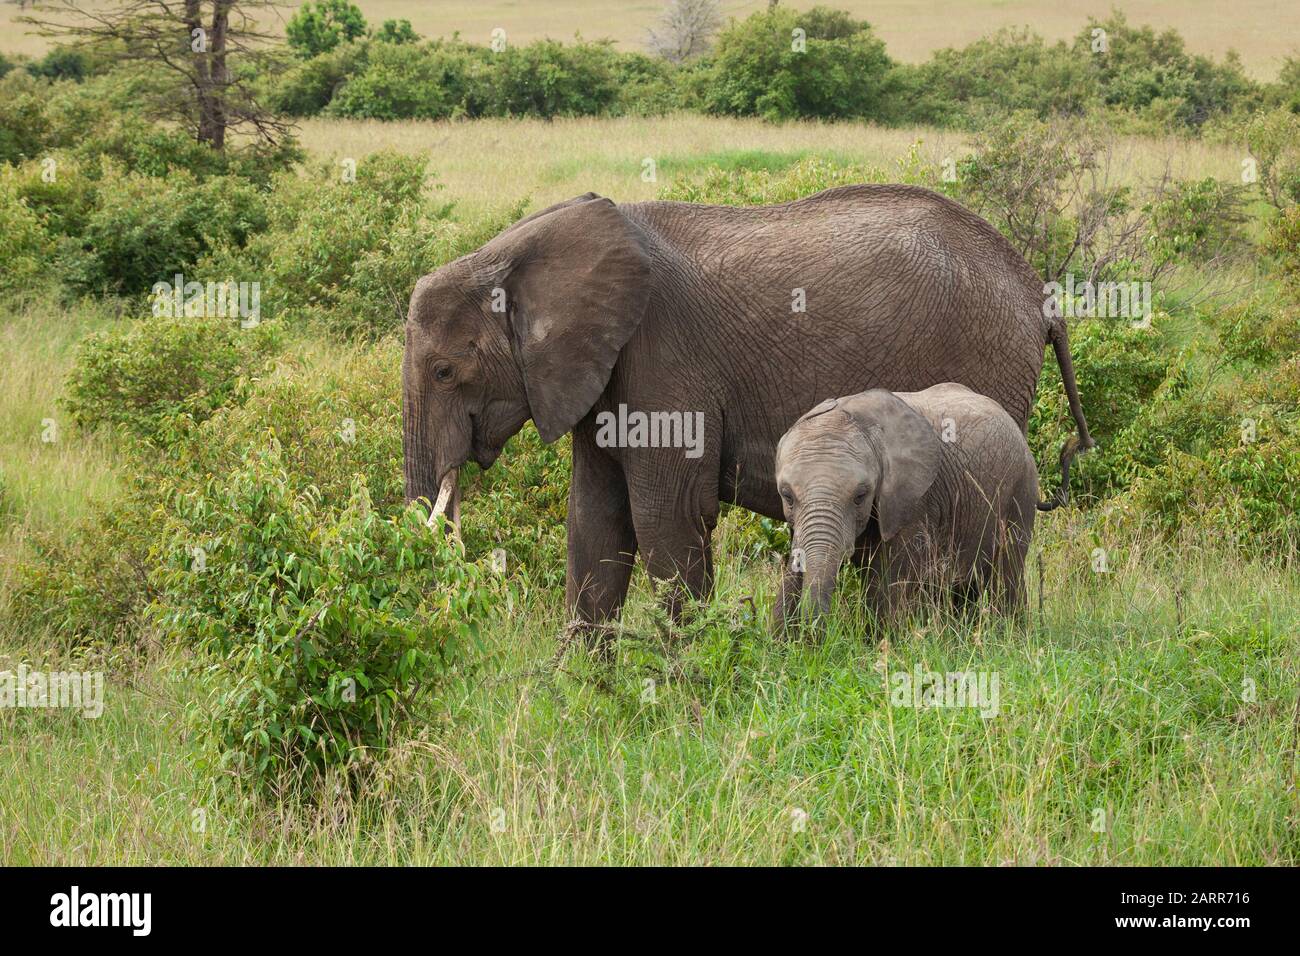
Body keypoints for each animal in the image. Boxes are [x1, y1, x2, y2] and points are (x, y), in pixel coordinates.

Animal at [774, 382, 1040, 629]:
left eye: (860, 496)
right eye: (787, 496)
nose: (813, 631)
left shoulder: (915, 501)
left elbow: (887, 580)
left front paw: (880, 639)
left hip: (1021, 488)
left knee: (1006, 573)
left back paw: (1009, 631)